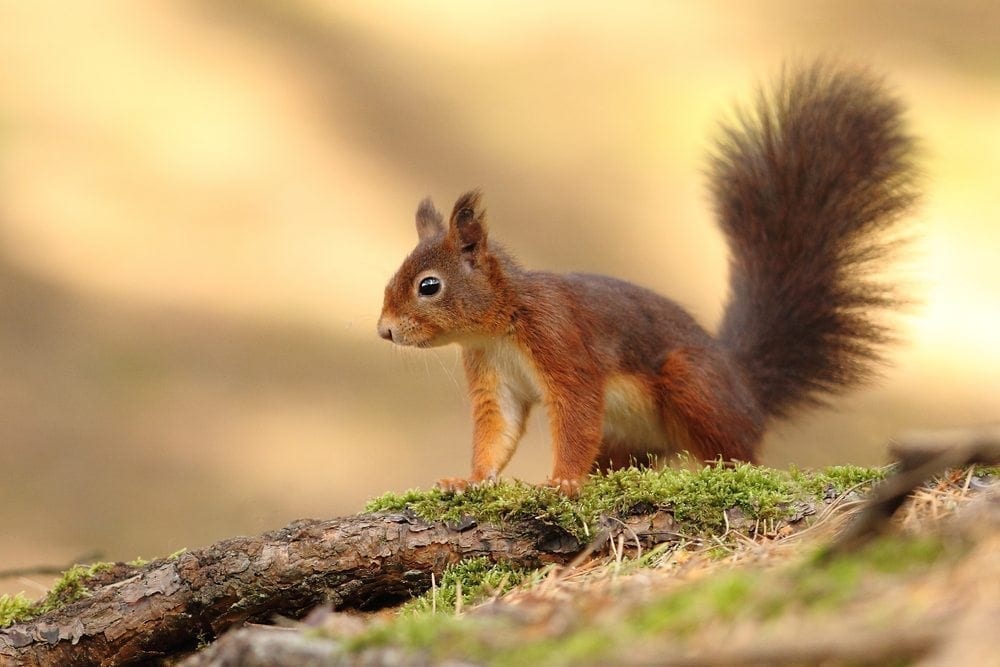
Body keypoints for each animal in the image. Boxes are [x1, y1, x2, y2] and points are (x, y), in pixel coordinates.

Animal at [377, 61, 918, 496]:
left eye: (428, 286)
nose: (384, 331)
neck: (501, 323)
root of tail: (746, 386)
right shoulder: (494, 377)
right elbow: (498, 432)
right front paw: (468, 480)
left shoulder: (561, 344)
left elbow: (576, 413)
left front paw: (562, 482)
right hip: (624, 439)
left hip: (693, 384)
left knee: (739, 453)